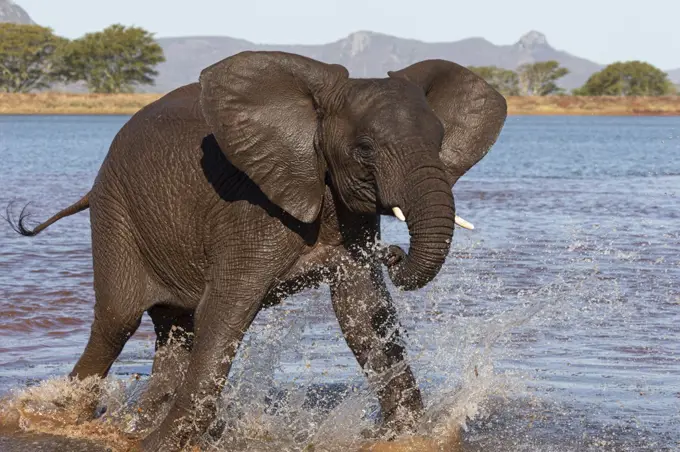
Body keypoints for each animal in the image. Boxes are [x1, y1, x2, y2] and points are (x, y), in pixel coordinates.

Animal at [5, 51, 504, 450]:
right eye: (365, 149)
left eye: (439, 142)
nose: (394, 254)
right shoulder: (249, 208)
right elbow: (225, 312)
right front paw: (161, 445)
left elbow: (362, 314)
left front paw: (410, 437)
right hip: (116, 214)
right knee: (117, 321)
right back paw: (65, 418)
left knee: (176, 331)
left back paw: (133, 425)